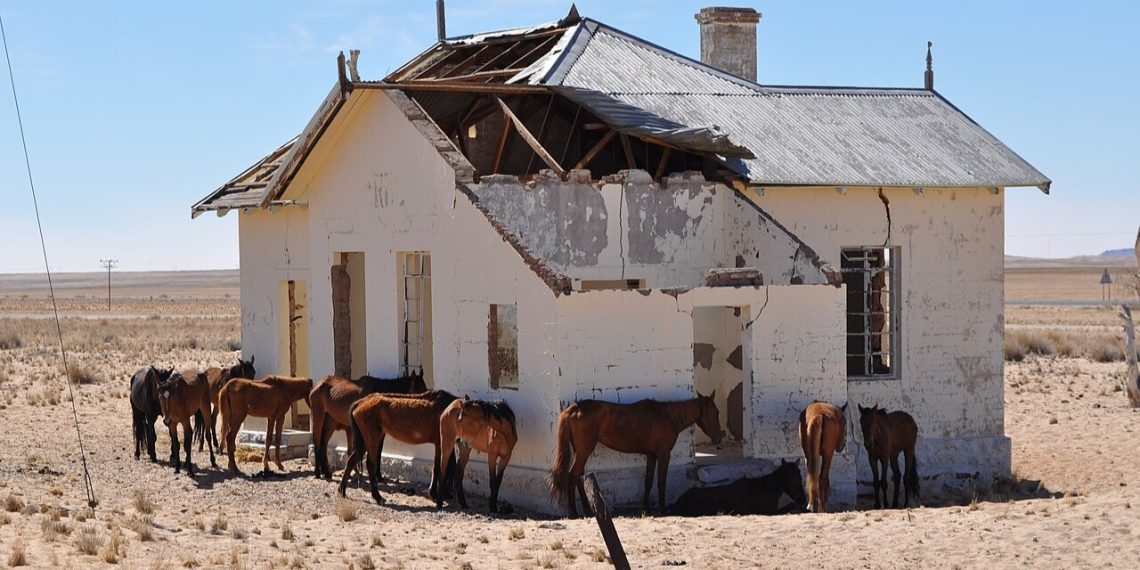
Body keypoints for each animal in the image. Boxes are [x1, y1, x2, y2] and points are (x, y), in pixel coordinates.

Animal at [549, 392, 724, 517]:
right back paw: (573, 512)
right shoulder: (663, 454)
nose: (718, 438)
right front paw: (663, 509)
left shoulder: (652, 455)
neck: (666, 416)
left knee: (579, 476)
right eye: (716, 412)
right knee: (572, 475)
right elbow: (661, 481)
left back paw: (586, 510)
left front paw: (646, 509)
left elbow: (648, 480)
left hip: (581, 451)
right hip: (584, 450)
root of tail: (575, 408)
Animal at [669, 459, 807, 517]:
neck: (765, 487)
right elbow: (790, 506)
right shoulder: (769, 512)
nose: (803, 499)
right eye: (797, 478)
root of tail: (677, 503)